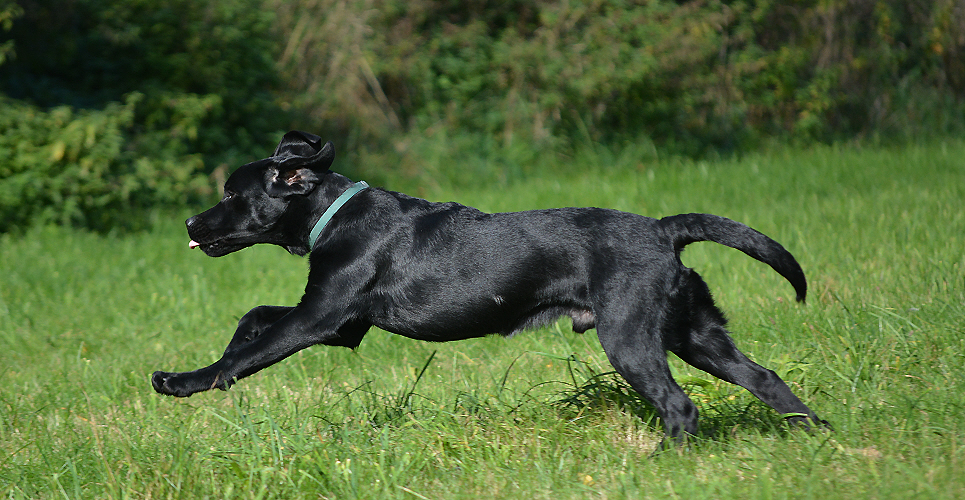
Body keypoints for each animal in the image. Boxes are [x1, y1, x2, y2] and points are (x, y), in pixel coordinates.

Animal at [153, 130, 828, 446]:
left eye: (231, 194)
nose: (187, 224)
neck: (334, 214)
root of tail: (667, 230)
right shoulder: (342, 326)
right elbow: (252, 319)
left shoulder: (320, 317)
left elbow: (247, 353)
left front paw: (181, 382)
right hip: (695, 332)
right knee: (766, 379)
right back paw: (817, 435)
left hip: (632, 336)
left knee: (680, 407)